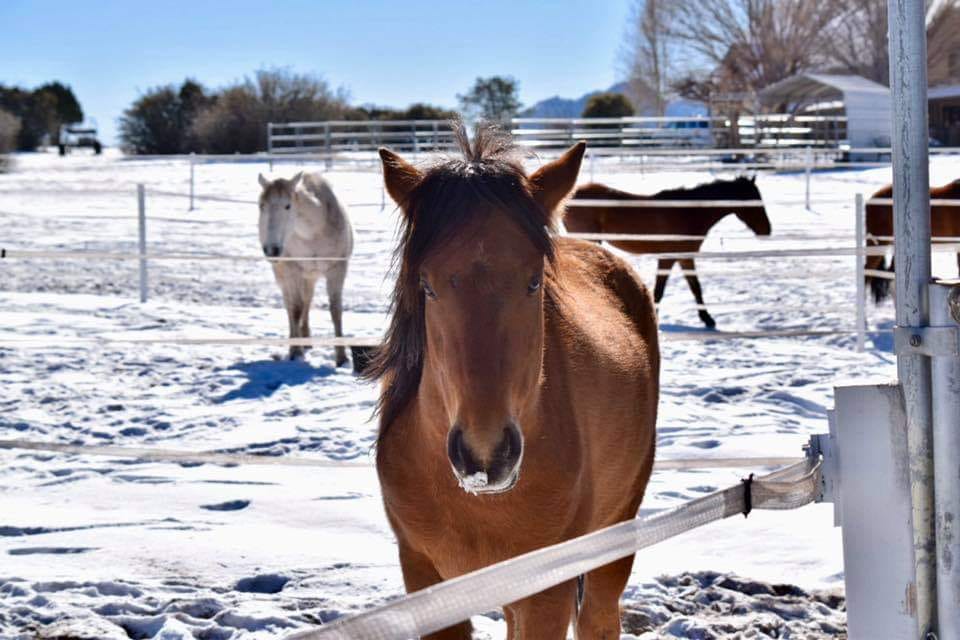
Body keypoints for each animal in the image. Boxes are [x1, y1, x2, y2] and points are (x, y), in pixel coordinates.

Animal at [257, 171, 354, 365]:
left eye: (288, 206)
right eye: (262, 206)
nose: (271, 249)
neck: (313, 232)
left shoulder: (337, 270)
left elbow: (335, 310)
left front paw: (342, 358)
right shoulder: (292, 271)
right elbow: (295, 309)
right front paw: (296, 352)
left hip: (310, 276)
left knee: (307, 300)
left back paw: (307, 339)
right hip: (285, 275)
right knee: (291, 304)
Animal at [367, 126, 659, 639]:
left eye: (533, 282)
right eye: (427, 285)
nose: (486, 456)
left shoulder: (547, 593)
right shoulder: (427, 581)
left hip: (615, 532)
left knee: (600, 617)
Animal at [564, 176, 771, 328]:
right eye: (755, 201)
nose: (767, 230)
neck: (687, 213)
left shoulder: (684, 258)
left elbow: (695, 287)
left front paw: (707, 318)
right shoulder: (669, 258)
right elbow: (659, 291)